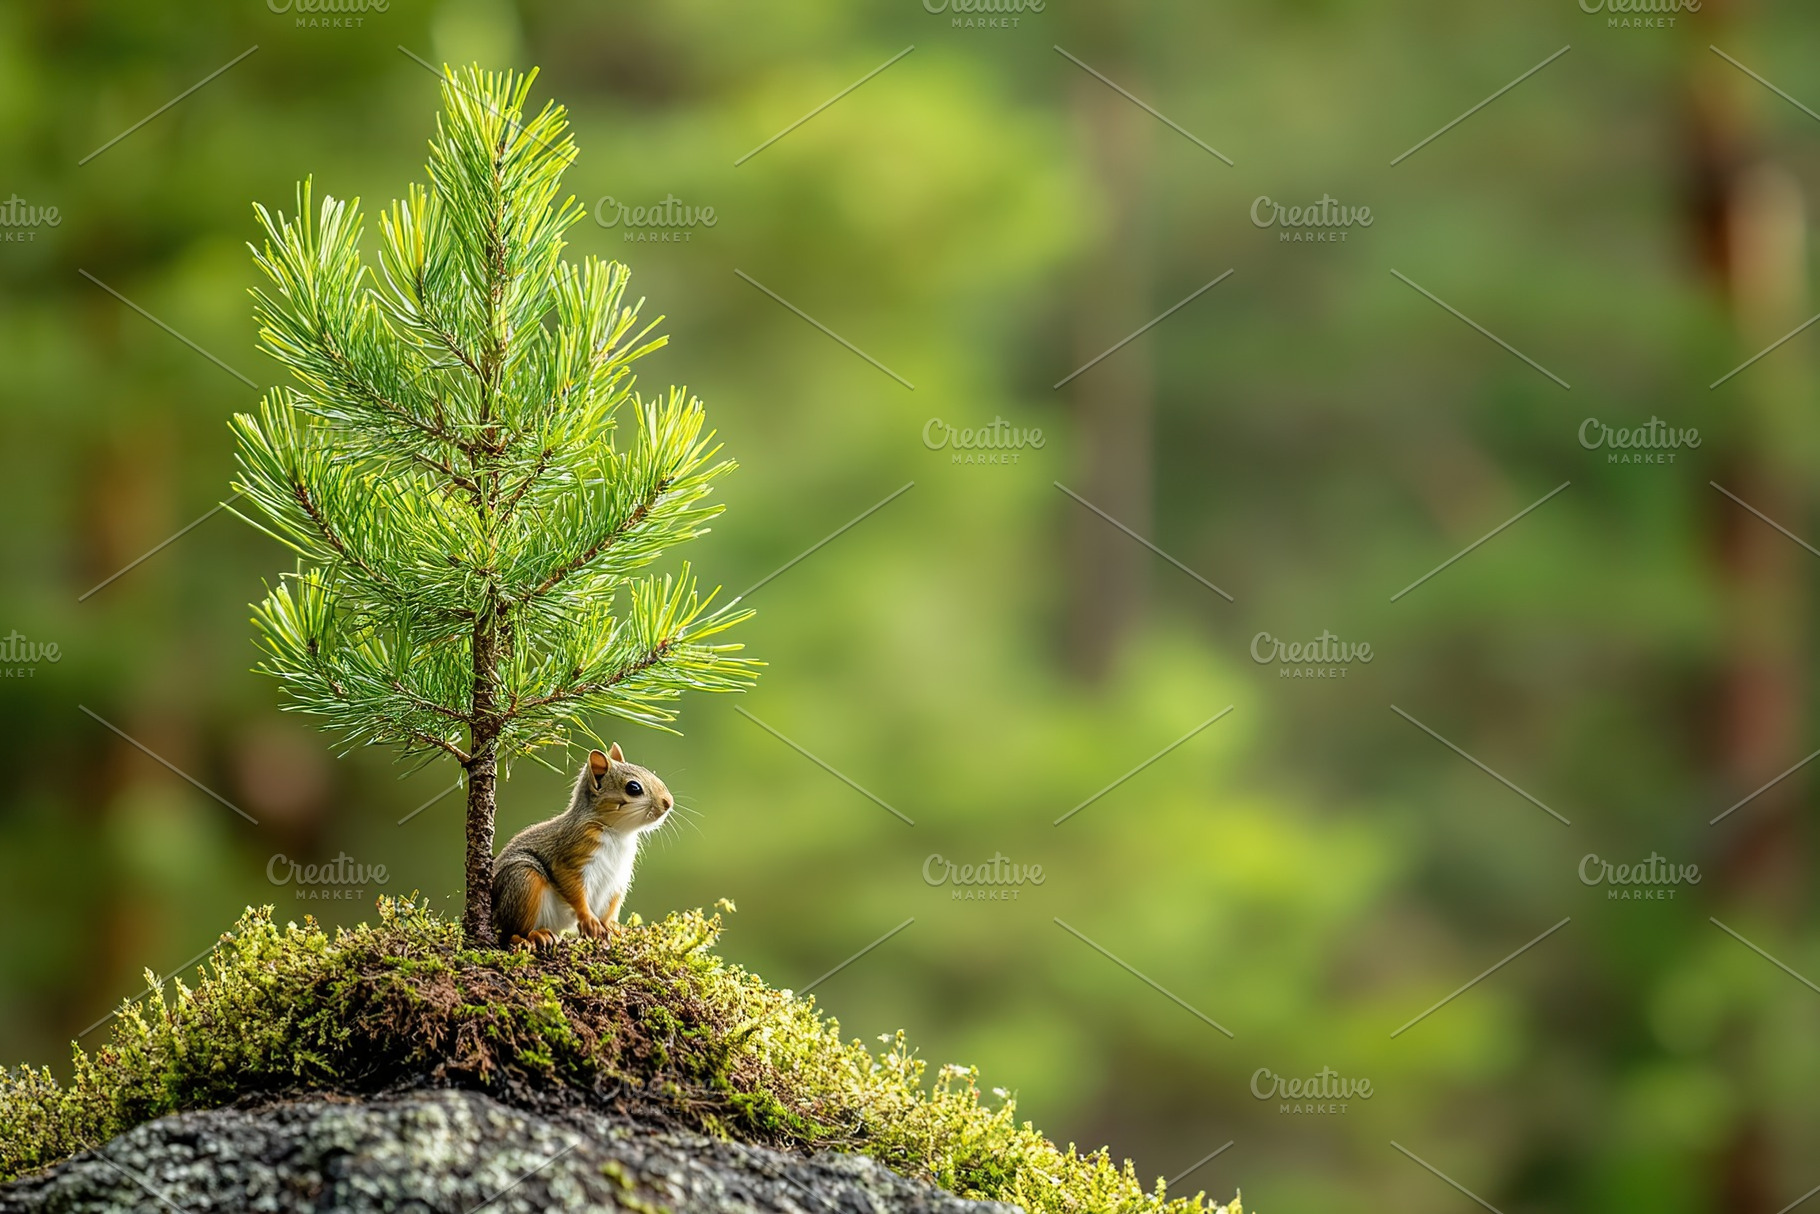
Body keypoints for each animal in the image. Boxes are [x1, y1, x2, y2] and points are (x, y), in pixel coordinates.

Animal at [491, 743, 675, 951]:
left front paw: (615, 927)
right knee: (508, 933)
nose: (668, 802)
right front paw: (590, 920)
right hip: (523, 882)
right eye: (633, 788)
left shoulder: (618, 878)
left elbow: (611, 908)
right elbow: (573, 888)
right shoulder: (572, 853)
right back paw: (530, 937)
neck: (618, 833)